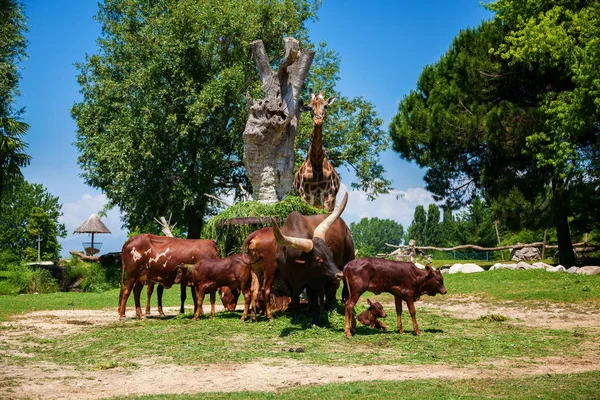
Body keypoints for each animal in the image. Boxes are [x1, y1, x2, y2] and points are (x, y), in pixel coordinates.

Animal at [241, 192, 354, 320]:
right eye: (318, 258)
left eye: (331, 254)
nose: (339, 274)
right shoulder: (287, 279)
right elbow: (298, 297)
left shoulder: (313, 279)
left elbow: (312, 295)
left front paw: (312, 312)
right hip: (265, 269)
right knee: (262, 290)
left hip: (347, 261)